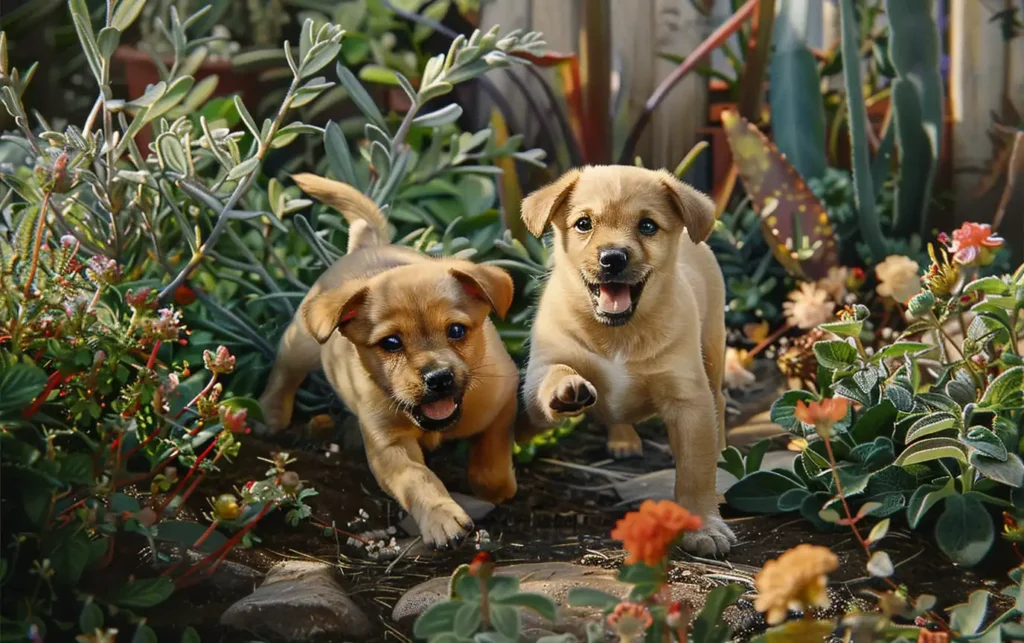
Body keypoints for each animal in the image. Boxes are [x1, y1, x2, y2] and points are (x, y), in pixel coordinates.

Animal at [262, 174, 520, 548]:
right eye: (391, 343)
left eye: (457, 330)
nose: (438, 378)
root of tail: (367, 245)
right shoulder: (389, 447)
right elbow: (417, 478)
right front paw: (442, 516)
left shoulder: (503, 397)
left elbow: (492, 449)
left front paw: (496, 486)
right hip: (301, 343)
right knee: (284, 375)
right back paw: (272, 415)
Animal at [520, 164, 737, 556]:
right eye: (583, 223)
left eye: (648, 226)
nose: (612, 258)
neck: (617, 335)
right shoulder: (537, 376)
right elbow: (556, 373)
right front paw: (566, 388)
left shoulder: (689, 401)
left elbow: (695, 473)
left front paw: (703, 525)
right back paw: (623, 439)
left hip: (713, 349)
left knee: (721, 401)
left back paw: (723, 456)